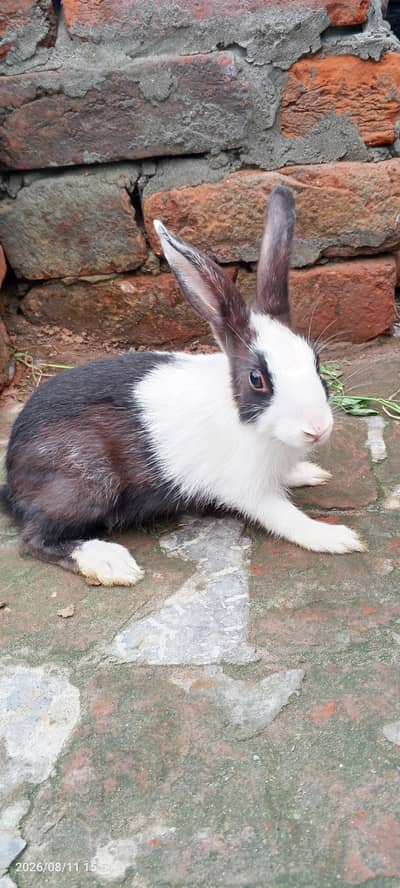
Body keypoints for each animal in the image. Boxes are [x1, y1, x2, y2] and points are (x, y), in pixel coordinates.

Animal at [1, 185, 366, 586]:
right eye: (257, 379)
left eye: (315, 362)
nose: (317, 429)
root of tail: (12, 475)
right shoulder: (251, 492)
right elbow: (286, 518)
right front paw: (335, 537)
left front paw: (308, 473)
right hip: (87, 482)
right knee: (35, 539)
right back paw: (111, 564)